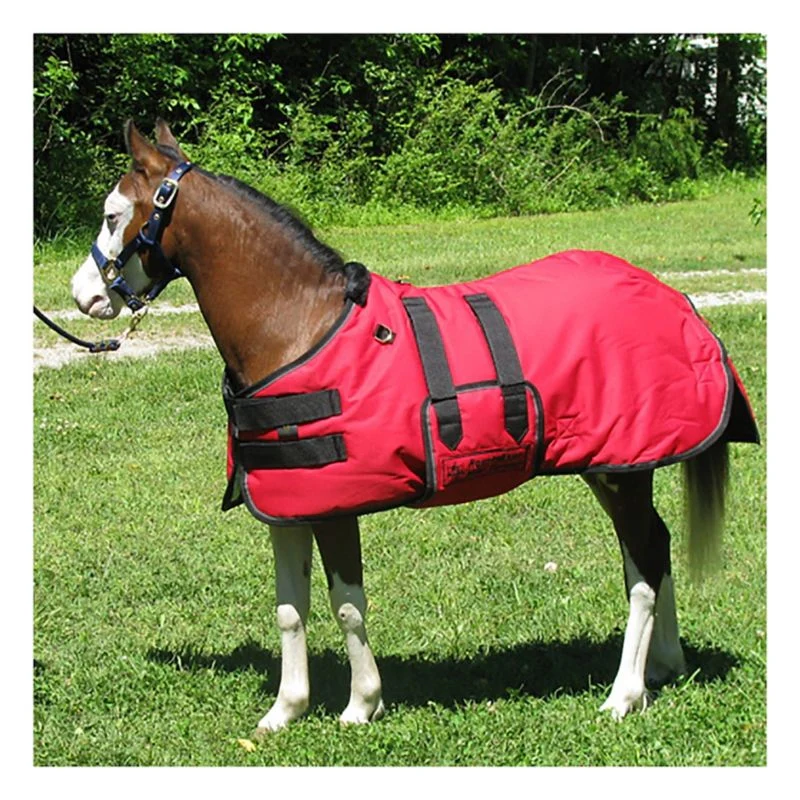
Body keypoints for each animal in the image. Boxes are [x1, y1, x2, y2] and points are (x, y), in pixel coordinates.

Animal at [69, 120, 759, 732]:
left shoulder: (334, 504)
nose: (83, 297)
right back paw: (663, 669)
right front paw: (283, 714)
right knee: (654, 548)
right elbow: (291, 609)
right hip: (614, 468)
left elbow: (347, 604)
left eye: (113, 215)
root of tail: (675, 299)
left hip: (620, 469)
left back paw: (623, 696)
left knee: (642, 566)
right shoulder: (288, 503)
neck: (298, 326)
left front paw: (360, 706)